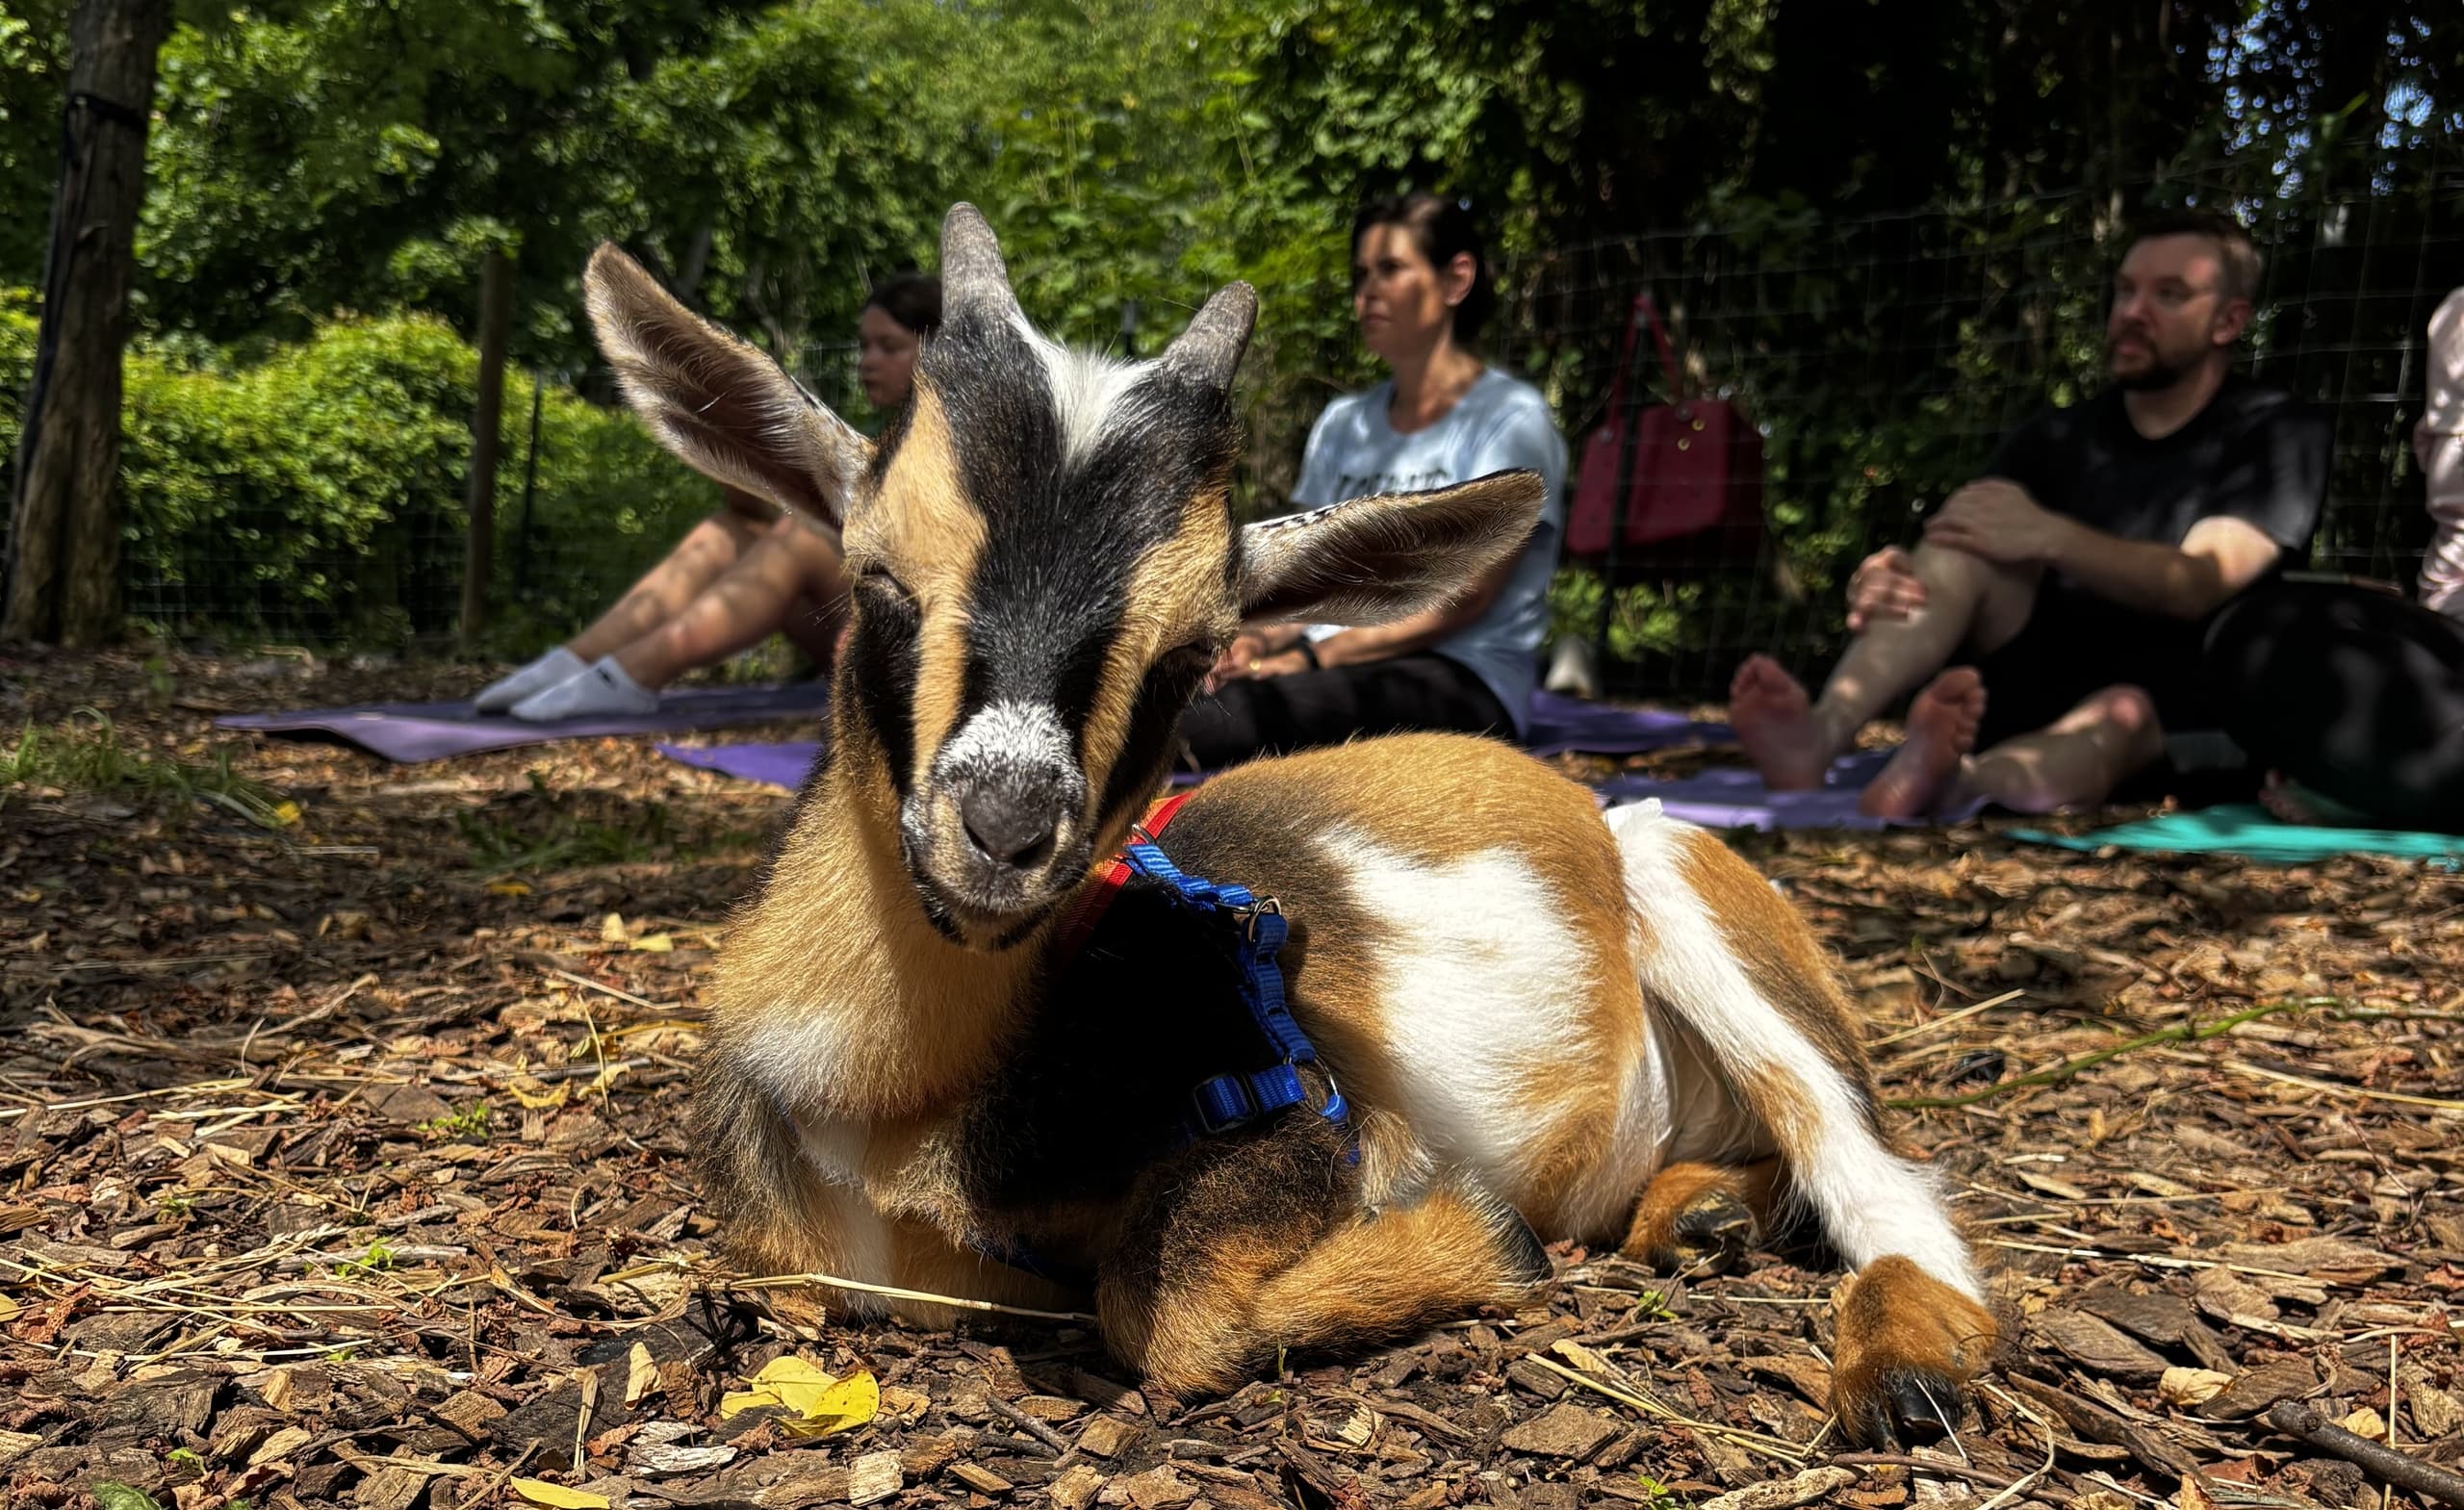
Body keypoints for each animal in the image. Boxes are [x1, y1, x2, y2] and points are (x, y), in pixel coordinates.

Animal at [583, 203, 1998, 1446]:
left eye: (1193, 653)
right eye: (876, 578)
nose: (1008, 826)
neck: (889, 1107)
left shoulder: (1313, 1118)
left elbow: (1163, 1306)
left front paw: (1485, 1241)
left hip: (1688, 879)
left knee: (1888, 1185)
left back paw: (1903, 1367)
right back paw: (1701, 1217)